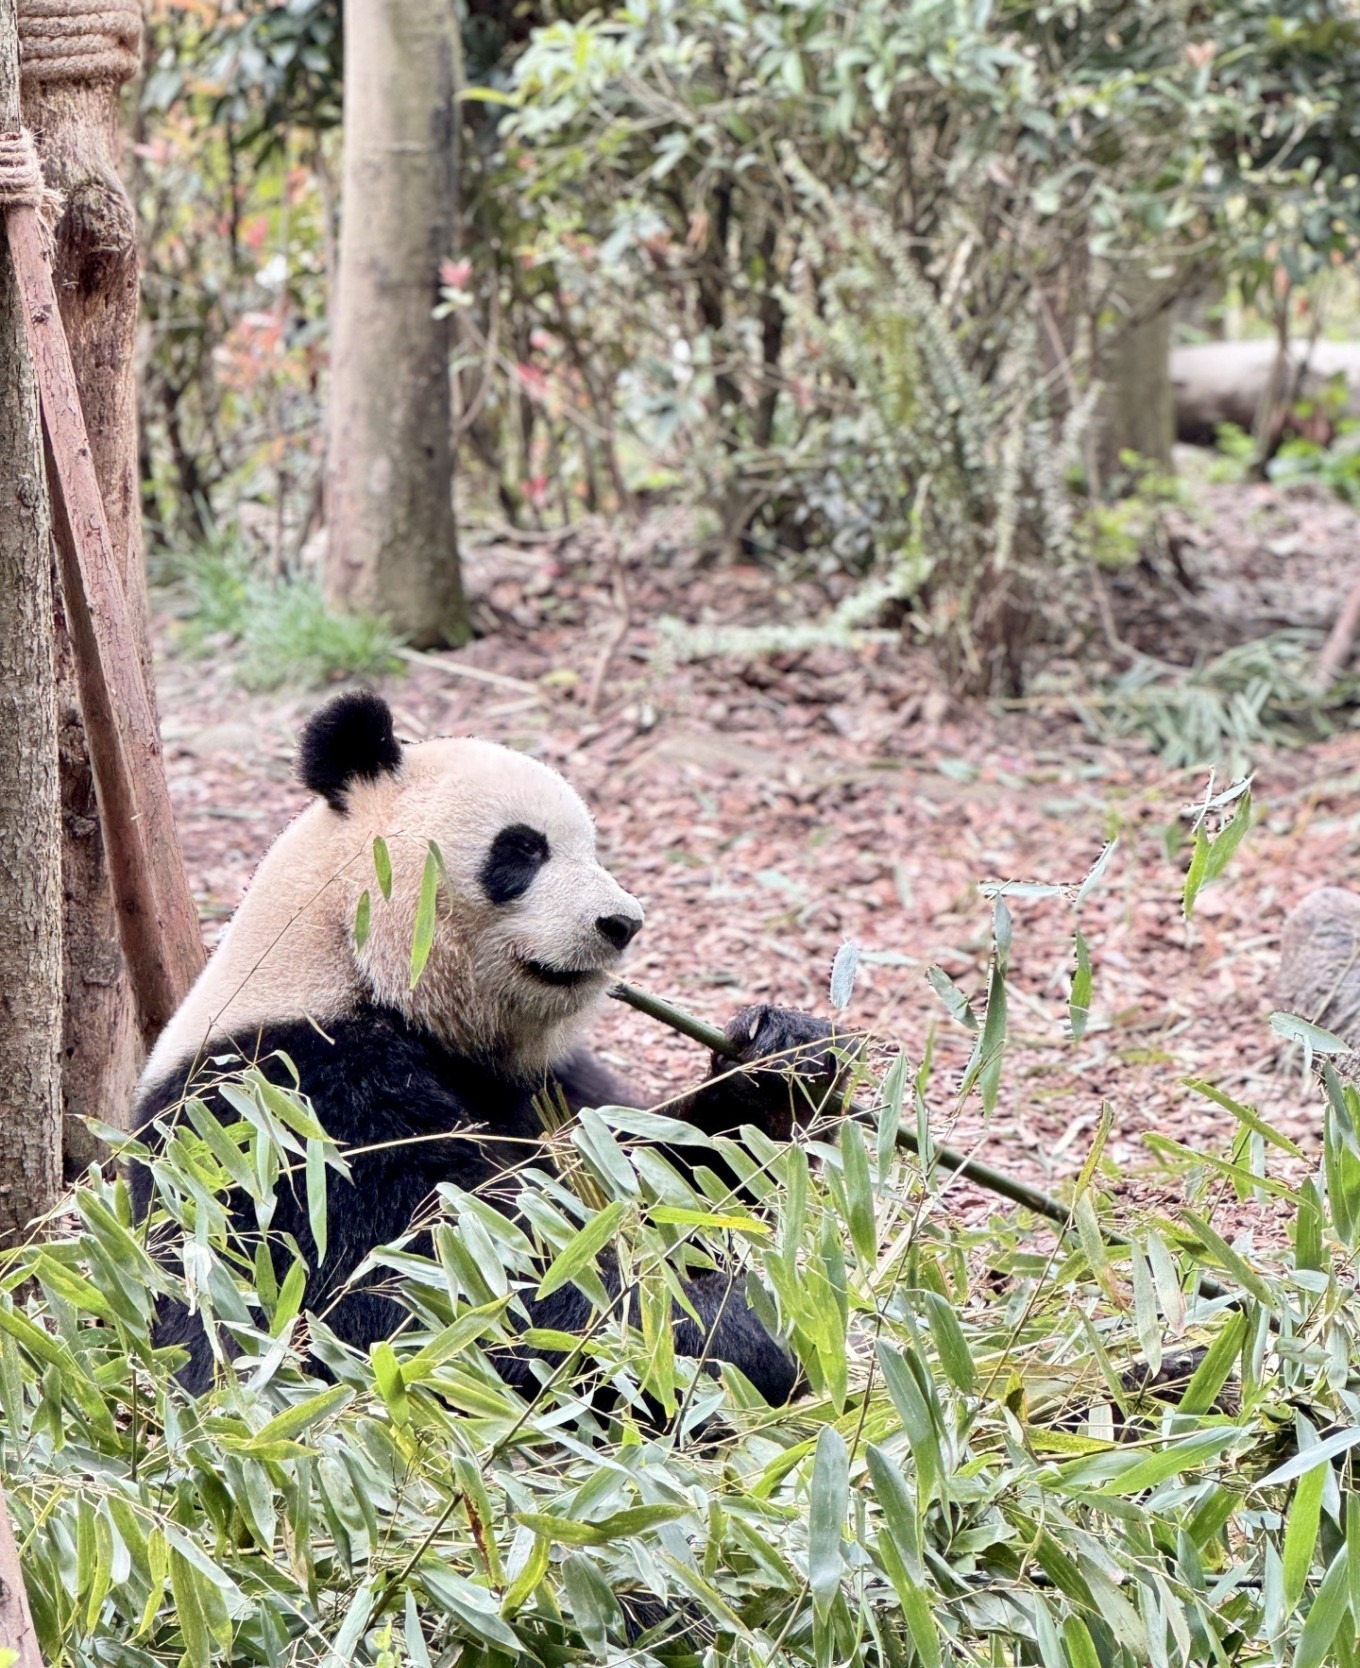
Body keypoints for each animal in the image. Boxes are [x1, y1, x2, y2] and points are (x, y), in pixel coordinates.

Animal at [131, 690, 839, 1402]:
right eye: (523, 848)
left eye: (591, 850)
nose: (622, 923)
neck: (350, 959)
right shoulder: (293, 1100)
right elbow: (433, 1291)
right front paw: (738, 1331)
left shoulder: (547, 1080)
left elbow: (653, 1172)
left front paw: (781, 1064)